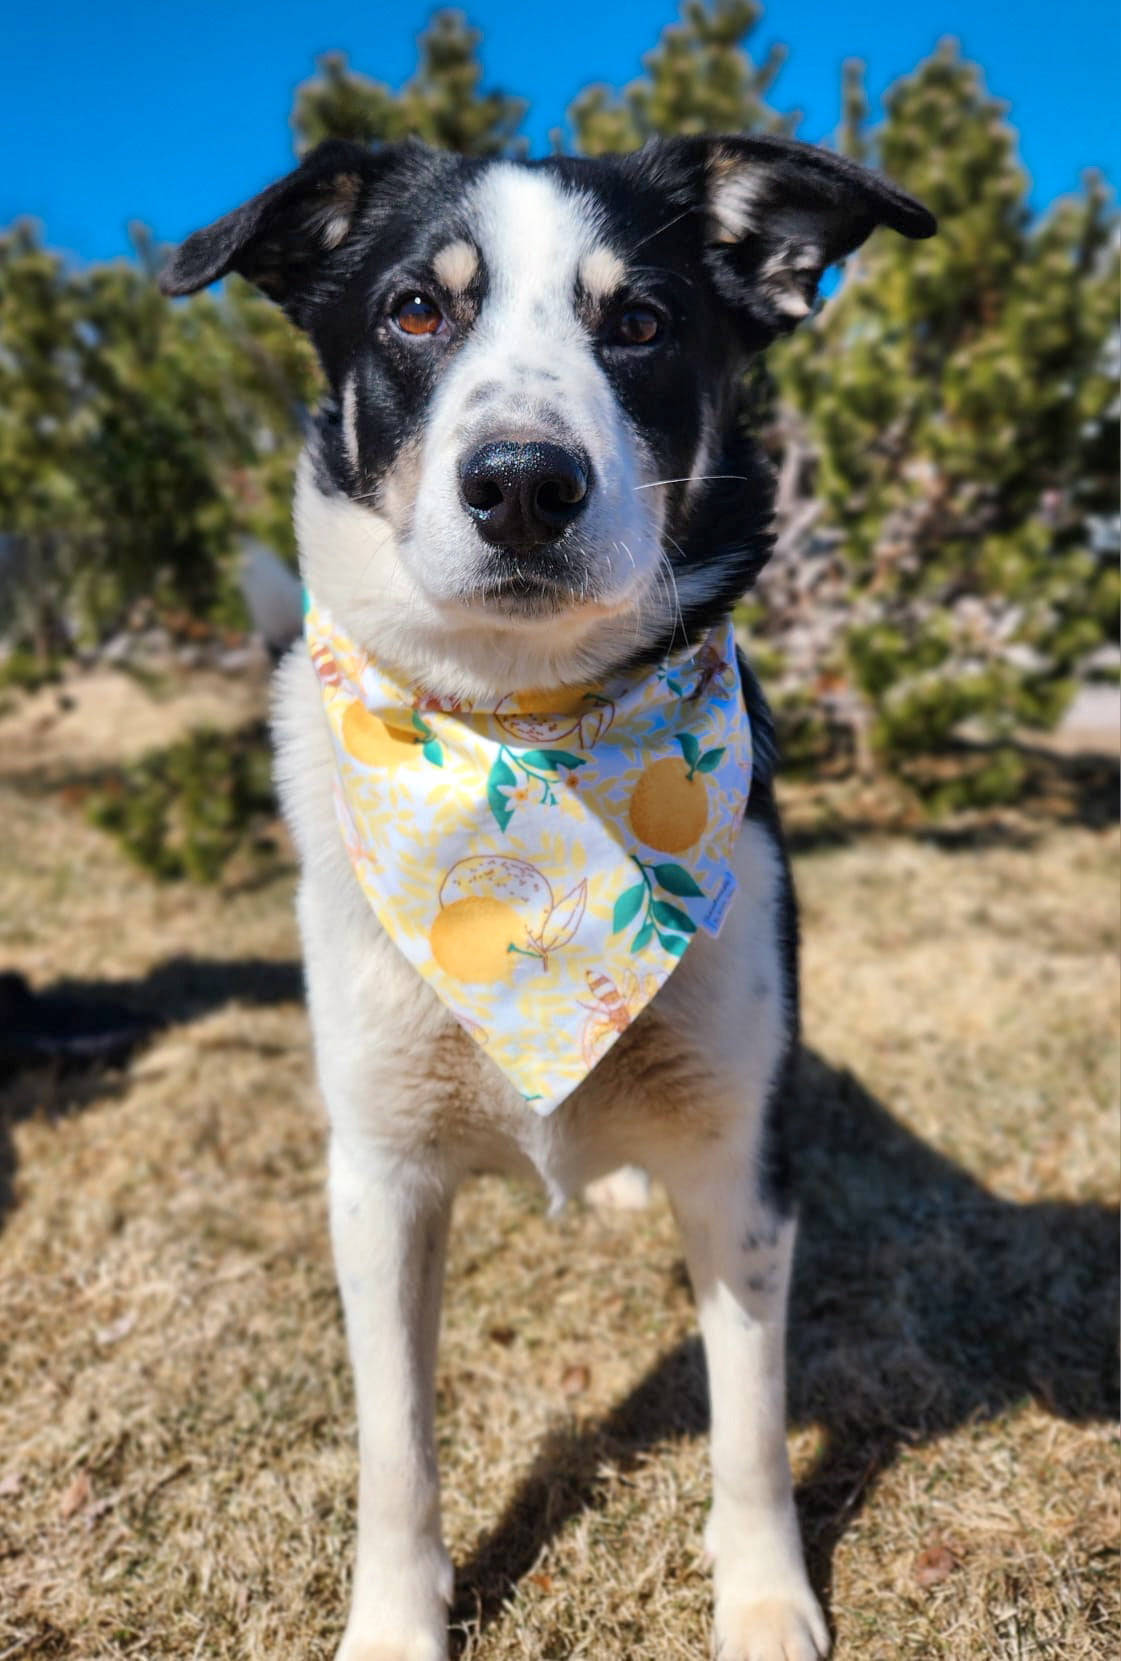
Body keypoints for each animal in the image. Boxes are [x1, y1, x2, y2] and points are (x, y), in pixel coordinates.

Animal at [161, 139, 936, 1661]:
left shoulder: (744, 1165)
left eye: (637, 320)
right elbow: (397, 1444)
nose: (523, 482)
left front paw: (765, 1600)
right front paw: (393, 1625)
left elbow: (749, 1424)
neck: (524, 733)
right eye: (414, 309)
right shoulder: (380, 1174)